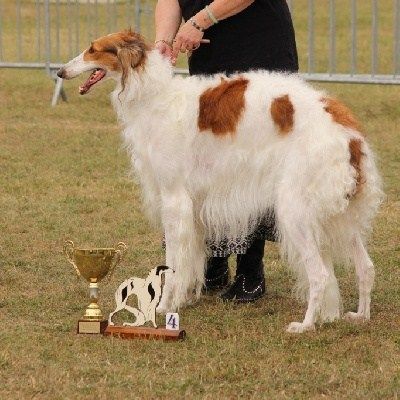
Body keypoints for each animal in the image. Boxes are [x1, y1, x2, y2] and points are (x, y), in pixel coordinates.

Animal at [57, 29, 382, 332]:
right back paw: (360, 316)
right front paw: (185, 297)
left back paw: (305, 325)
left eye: (93, 49)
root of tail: (350, 134)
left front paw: (164, 306)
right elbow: (191, 259)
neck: (155, 96)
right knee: (366, 268)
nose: (60, 72)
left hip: (295, 210)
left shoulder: (174, 199)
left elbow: (173, 260)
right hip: (339, 215)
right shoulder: (195, 206)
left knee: (320, 275)